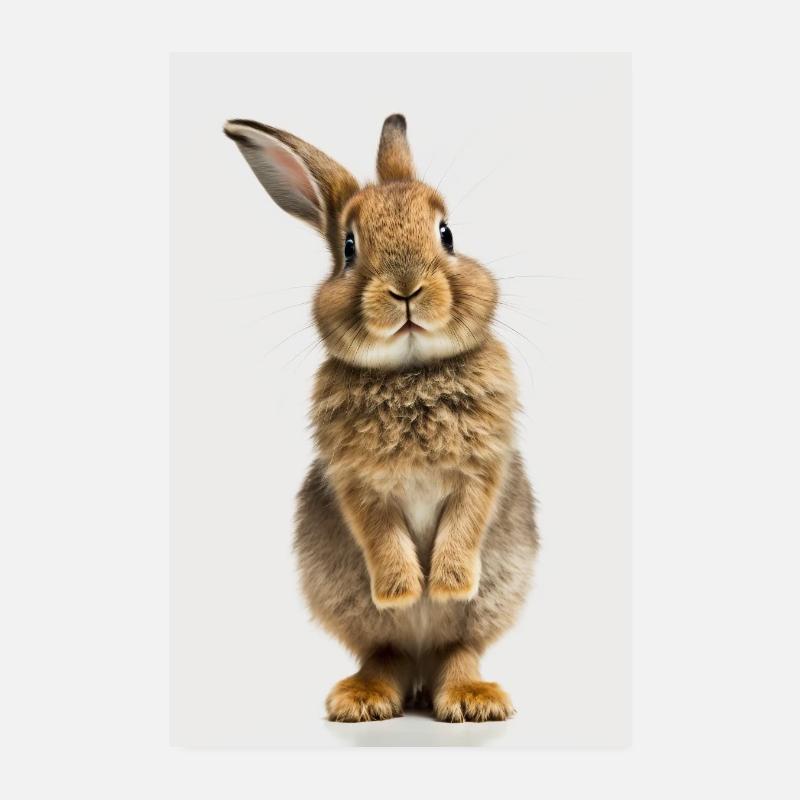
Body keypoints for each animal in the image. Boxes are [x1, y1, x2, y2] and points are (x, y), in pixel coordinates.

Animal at [224, 114, 539, 723]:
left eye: (447, 234)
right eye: (349, 248)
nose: (406, 288)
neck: (410, 371)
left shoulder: (480, 471)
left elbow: (464, 527)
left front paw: (444, 586)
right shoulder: (358, 484)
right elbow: (382, 536)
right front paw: (403, 590)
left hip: (491, 599)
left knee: (458, 649)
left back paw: (471, 698)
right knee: (385, 650)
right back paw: (365, 697)